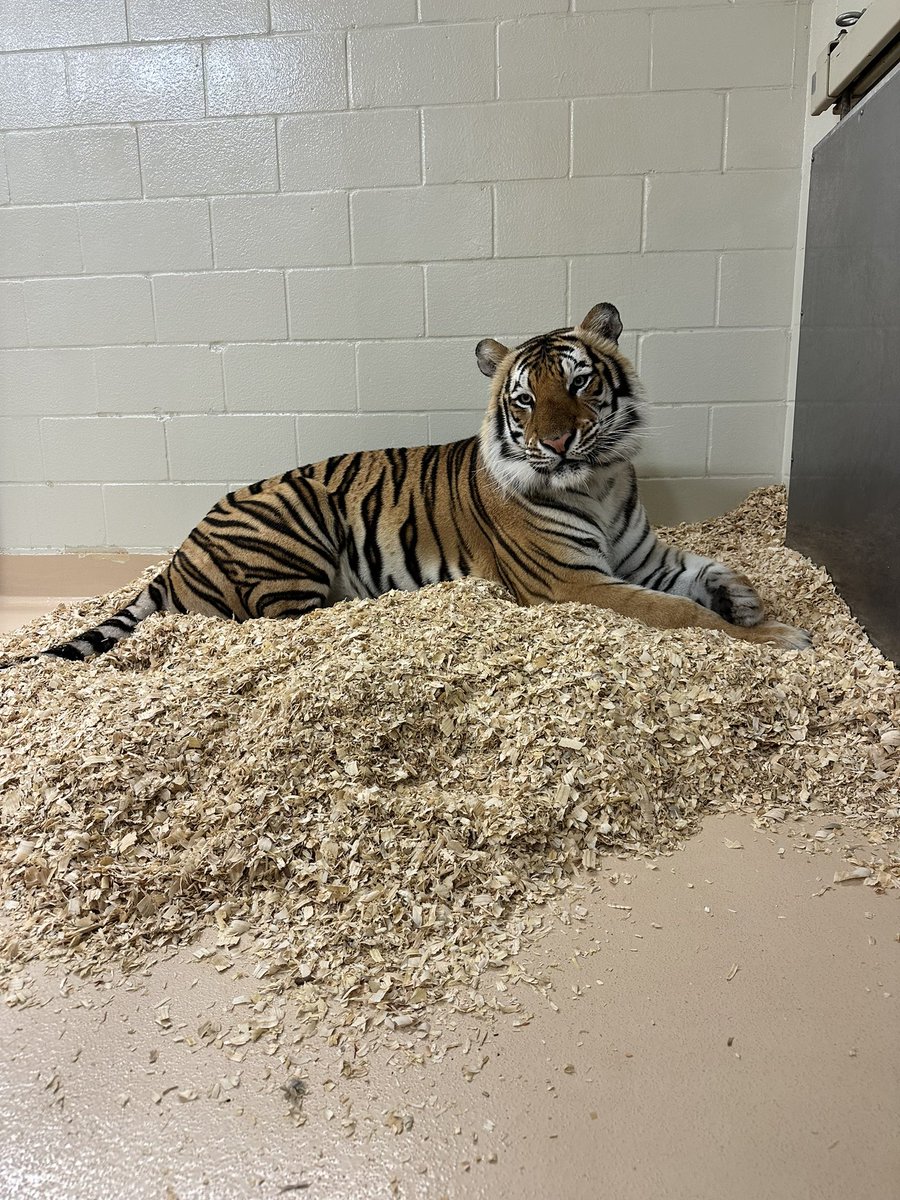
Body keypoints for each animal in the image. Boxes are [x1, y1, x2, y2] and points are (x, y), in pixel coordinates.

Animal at [2, 302, 810, 669]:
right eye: (525, 399)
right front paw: (776, 635)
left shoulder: (641, 556)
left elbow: (710, 572)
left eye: (581, 382)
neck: (600, 484)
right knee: (282, 623)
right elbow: (678, 614)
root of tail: (175, 557)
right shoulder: (575, 582)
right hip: (290, 532)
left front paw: (745, 601)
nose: (556, 442)